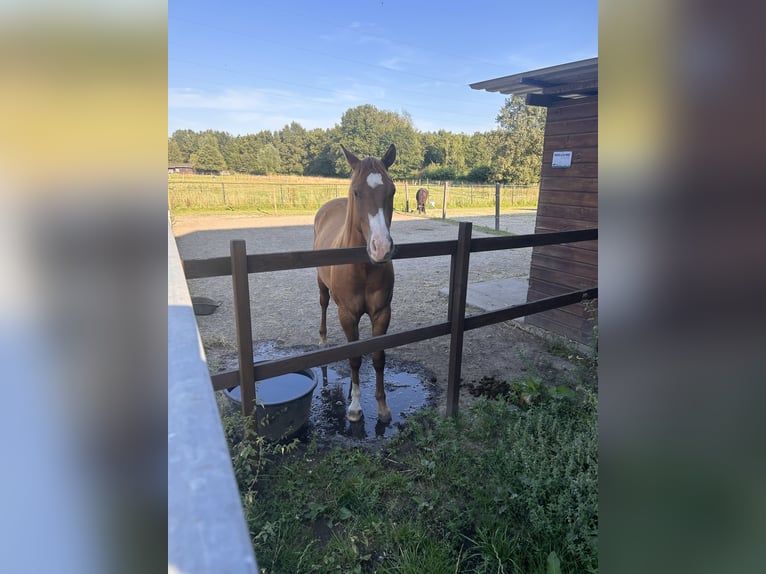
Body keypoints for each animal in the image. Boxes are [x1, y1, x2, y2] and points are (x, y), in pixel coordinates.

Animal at [314, 144, 400, 424]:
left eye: (392, 190)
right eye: (356, 192)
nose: (381, 248)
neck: (362, 268)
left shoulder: (382, 312)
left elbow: (377, 356)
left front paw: (382, 408)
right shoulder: (347, 315)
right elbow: (354, 358)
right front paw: (354, 408)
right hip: (321, 285)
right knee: (323, 304)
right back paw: (322, 340)